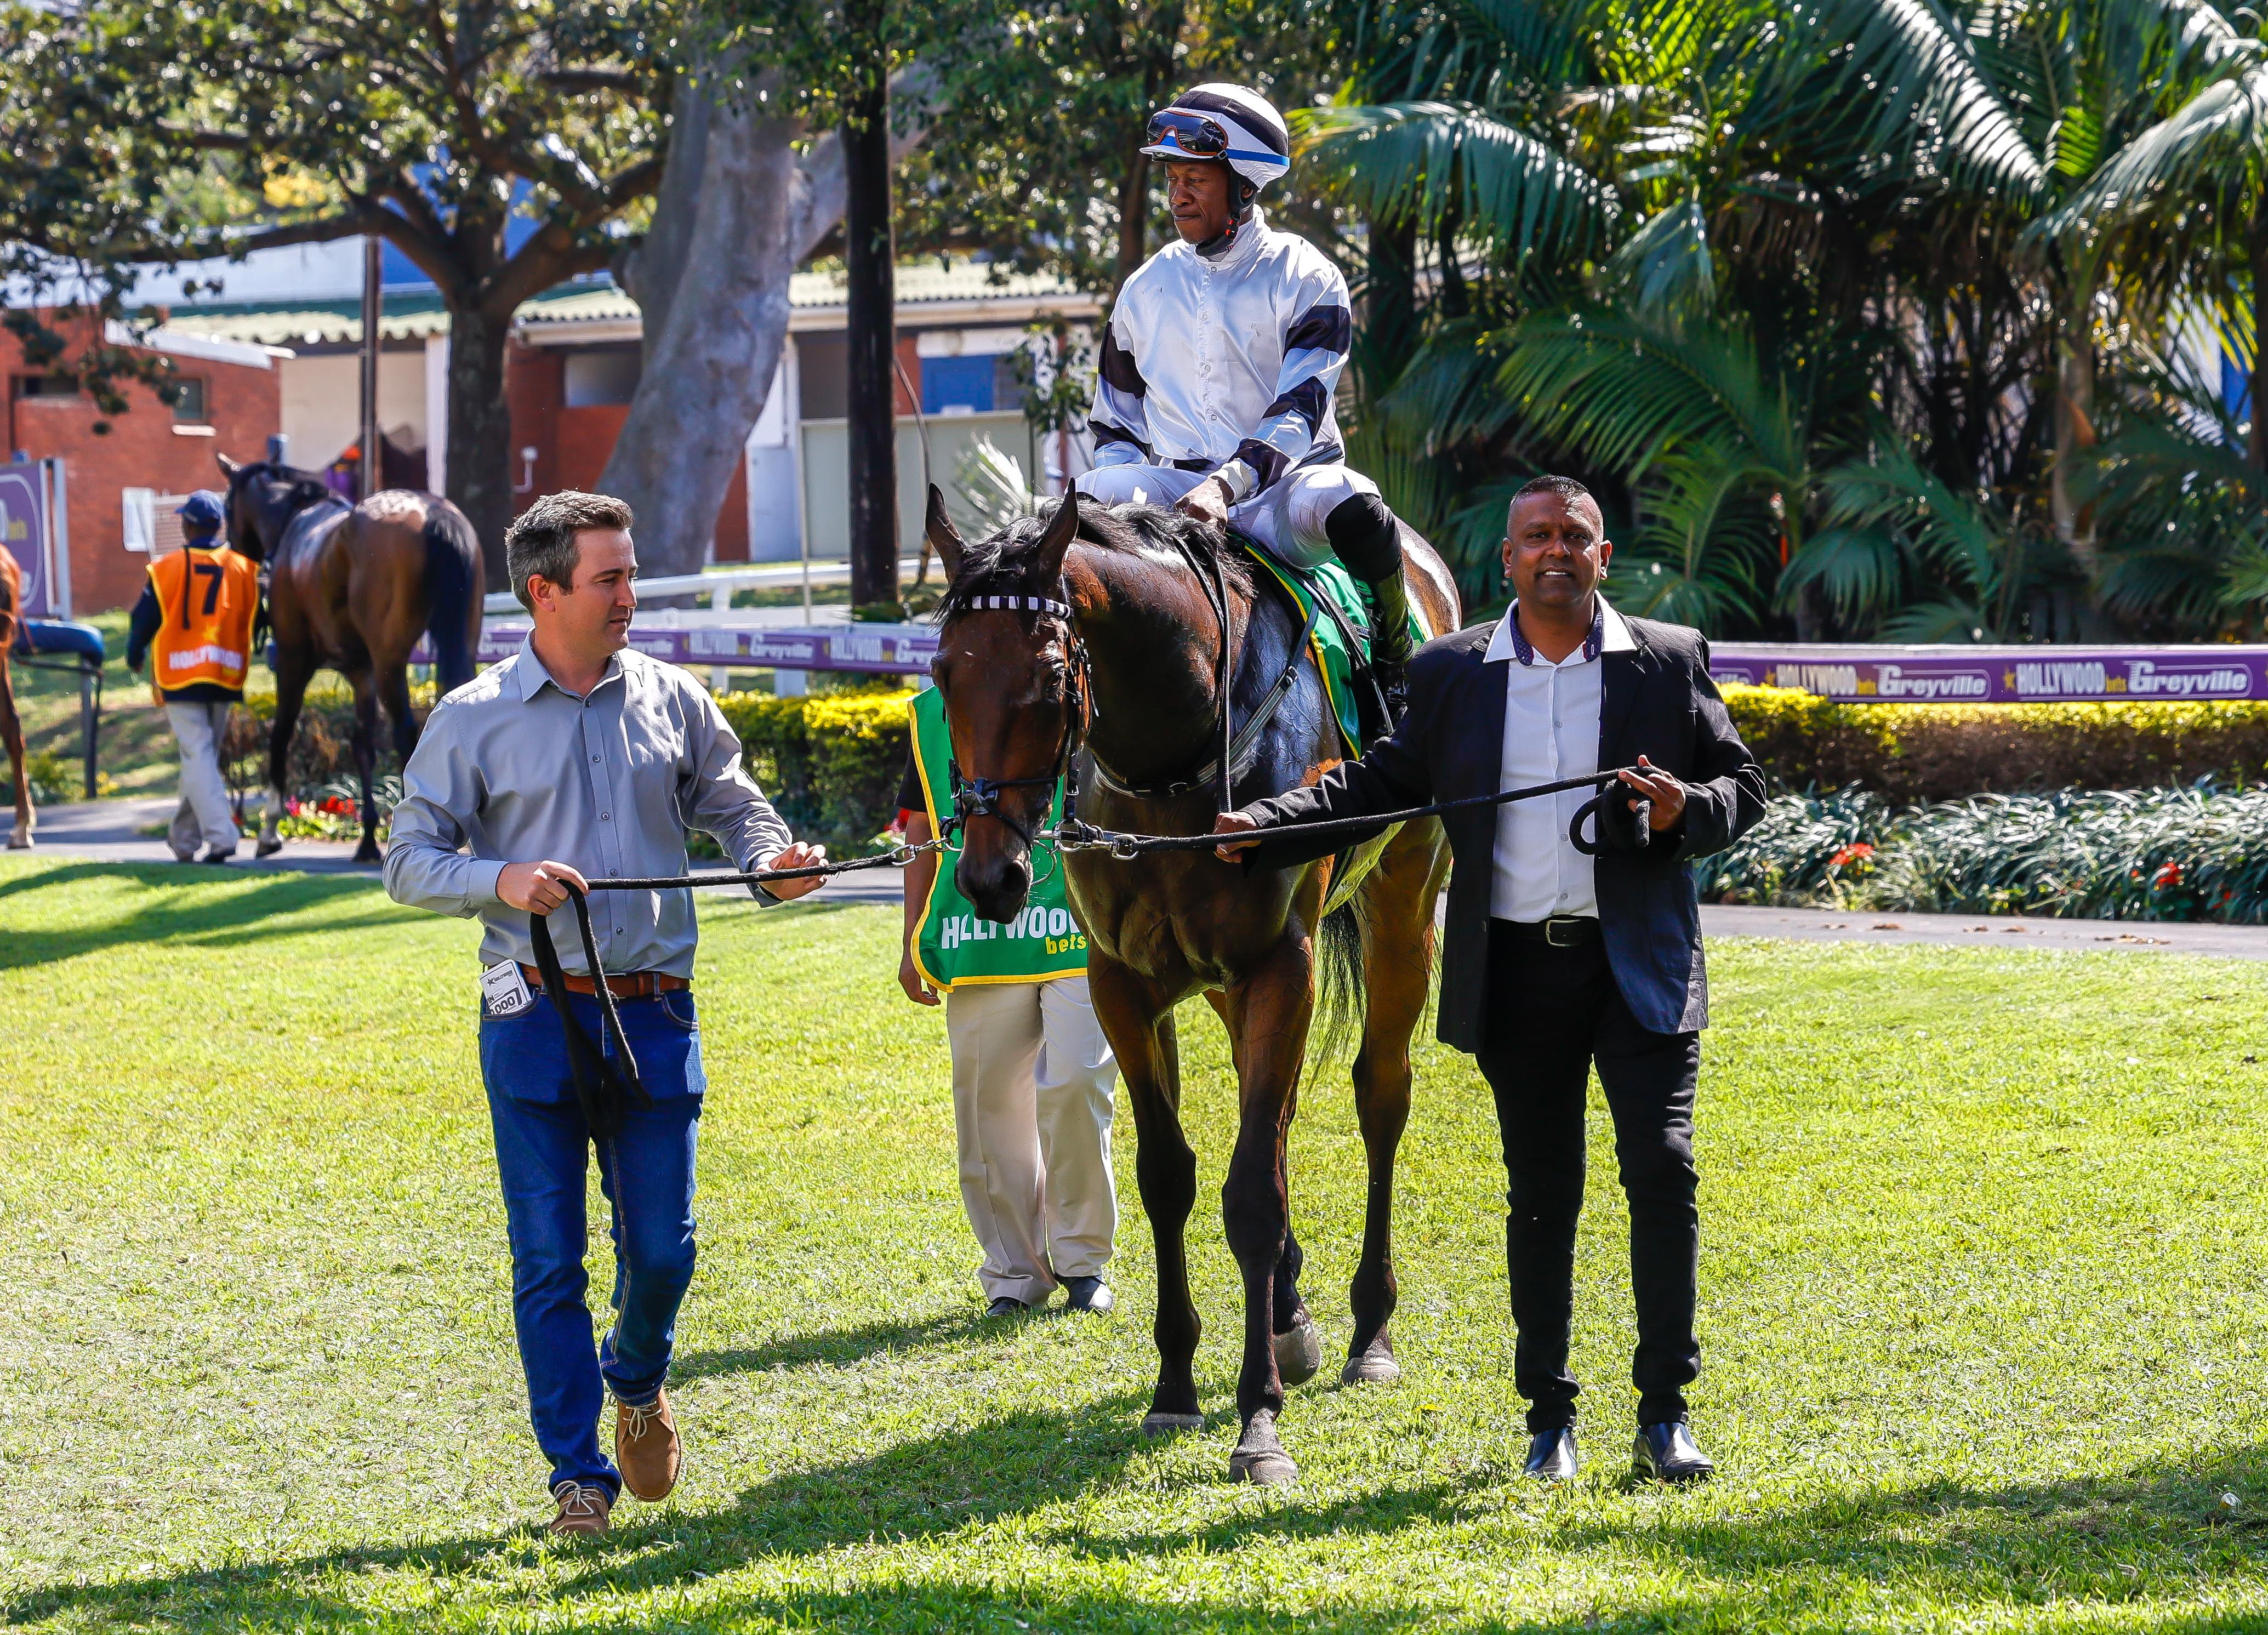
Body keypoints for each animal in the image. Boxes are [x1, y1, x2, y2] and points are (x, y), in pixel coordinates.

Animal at [215, 456, 483, 864]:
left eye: (228, 507)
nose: (233, 549)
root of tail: (433, 513)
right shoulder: (361, 672)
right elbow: (362, 746)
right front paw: (368, 837)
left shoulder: (294, 660)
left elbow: (281, 735)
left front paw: (269, 830)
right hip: (459, 641)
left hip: (389, 659)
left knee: (407, 732)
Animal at [923, 487, 1460, 1485]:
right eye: (943, 672)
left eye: (1048, 677)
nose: (989, 875)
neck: (1168, 762)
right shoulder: (1123, 982)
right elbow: (1167, 1174)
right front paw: (1175, 1384)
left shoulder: (1278, 965)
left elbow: (1252, 1192)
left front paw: (1258, 1418)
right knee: (1273, 1114)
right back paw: (1289, 1312)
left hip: (1403, 902)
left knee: (1379, 1094)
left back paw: (1369, 1329)